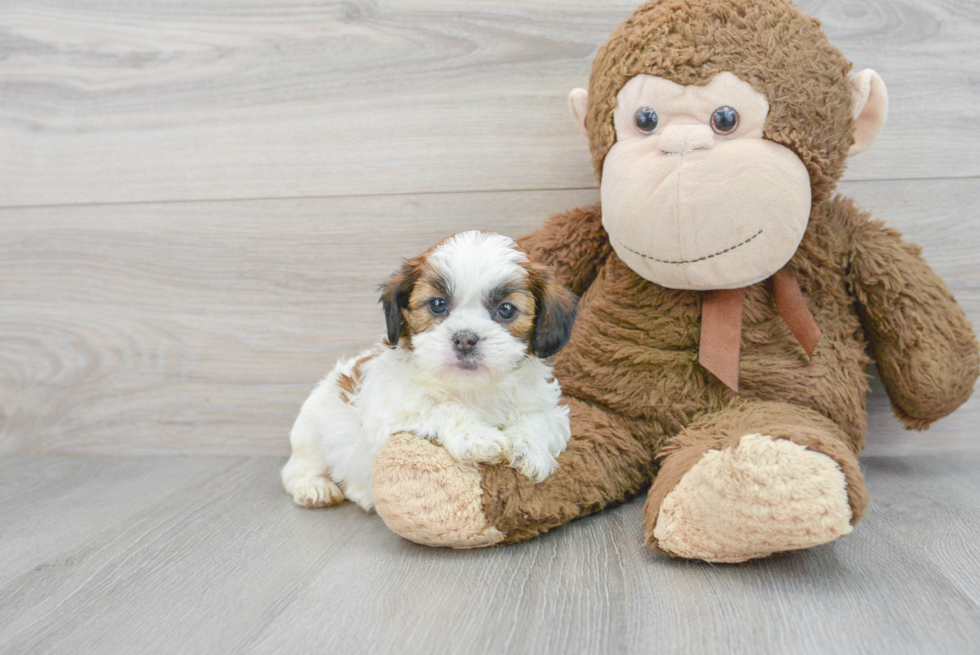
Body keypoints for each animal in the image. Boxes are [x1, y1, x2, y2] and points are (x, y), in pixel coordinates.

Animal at [280, 231, 580, 512]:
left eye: (506, 309)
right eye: (438, 304)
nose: (464, 339)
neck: (472, 388)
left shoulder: (548, 408)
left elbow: (539, 419)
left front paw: (528, 450)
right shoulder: (391, 412)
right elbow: (441, 407)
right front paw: (478, 437)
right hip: (311, 434)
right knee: (296, 470)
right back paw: (315, 487)